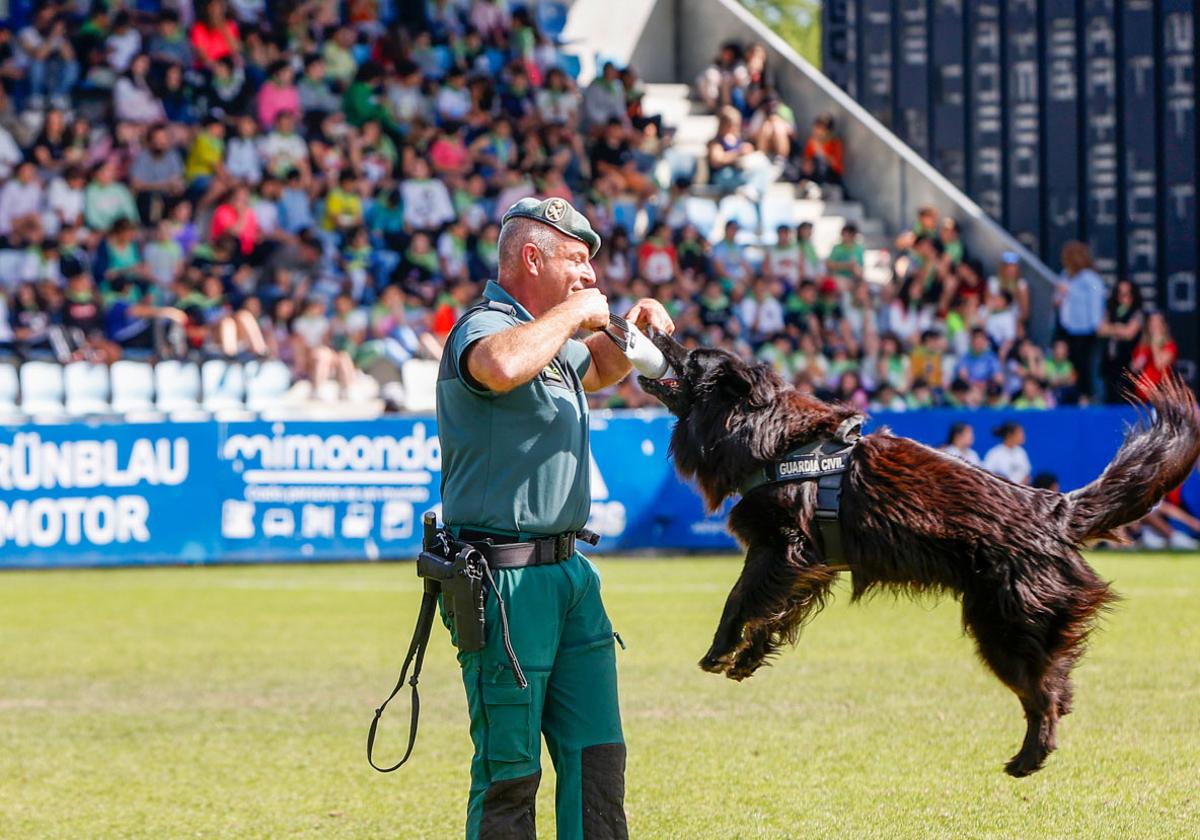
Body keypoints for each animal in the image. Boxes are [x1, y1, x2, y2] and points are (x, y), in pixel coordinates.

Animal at [643, 331, 1200, 777]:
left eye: (692, 358)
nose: (656, 328)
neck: (767, 435)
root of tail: (1055, 509)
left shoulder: (784, 547)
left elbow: (741, 599)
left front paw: (720, 650)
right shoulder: (809, 564)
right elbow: (777, 612)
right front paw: (749, 656)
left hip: (1003, 630)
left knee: (1043, 697)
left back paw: (1028, 758)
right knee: (1056, 688)